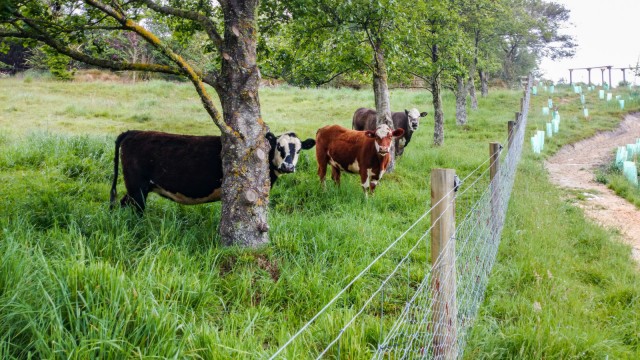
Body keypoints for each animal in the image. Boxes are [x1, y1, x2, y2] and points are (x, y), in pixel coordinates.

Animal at [112, 131, 318, 212]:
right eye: (279, 147)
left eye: (299, 150)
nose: (288, 167)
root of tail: (132, 132)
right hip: (137, 187)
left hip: (136, 188)